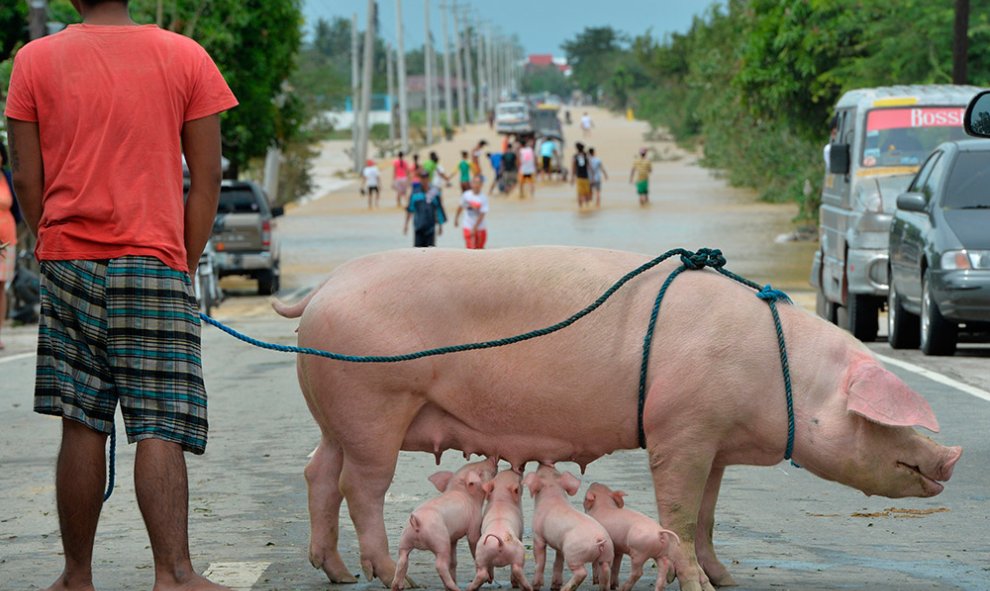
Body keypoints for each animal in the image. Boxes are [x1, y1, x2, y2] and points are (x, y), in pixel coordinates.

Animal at [101, 247, 800, 502]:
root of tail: (323, 289)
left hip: (335, 408)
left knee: (318, 470)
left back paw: (336, 571)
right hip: (371, 401)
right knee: (360, 484)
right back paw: (380, 571)